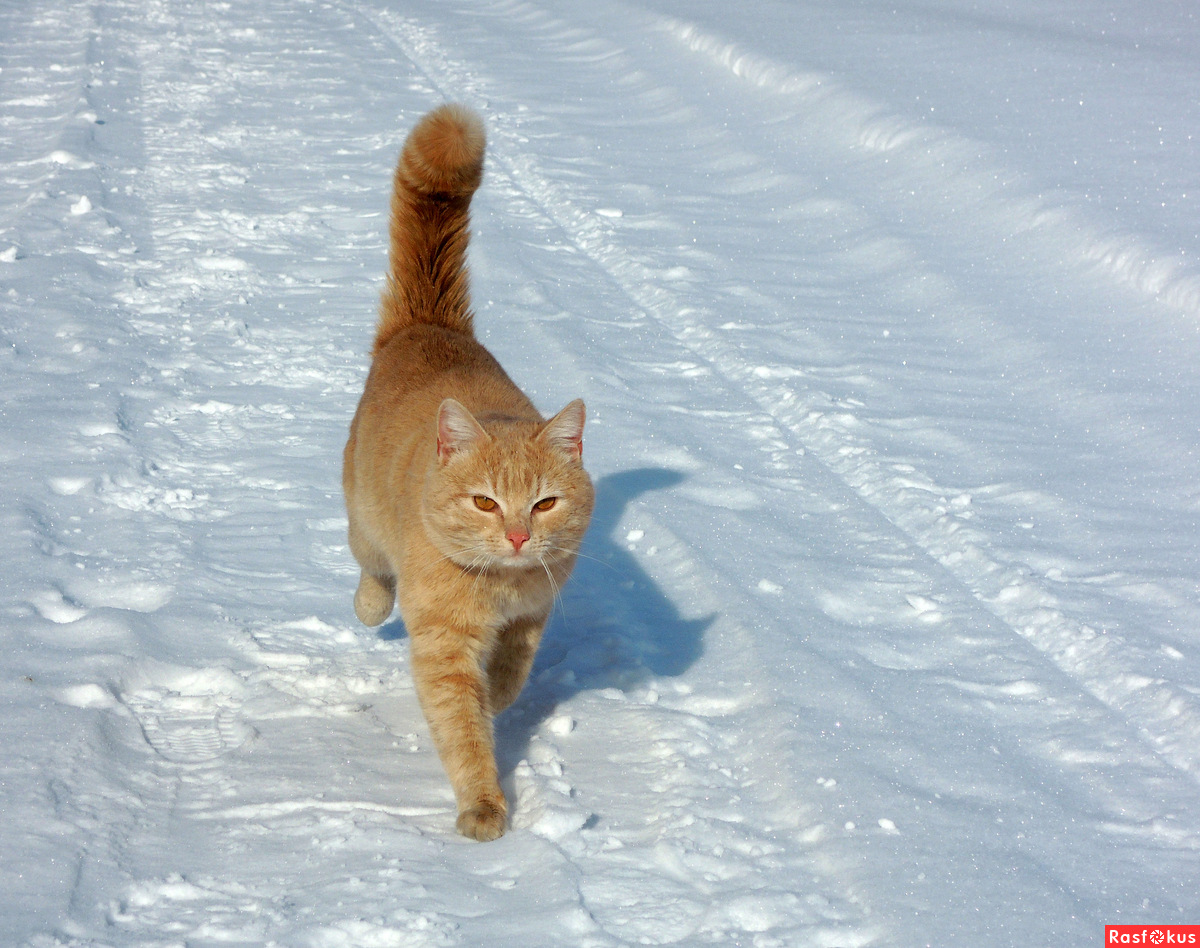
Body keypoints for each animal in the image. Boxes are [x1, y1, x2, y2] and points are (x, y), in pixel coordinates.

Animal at [343, 103, 595, 844]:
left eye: (542, 505)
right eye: (485, 502)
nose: (515, 537)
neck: (499, 590)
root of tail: (431, 325)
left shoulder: (532, 616)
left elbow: (509, 678)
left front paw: (501, 699)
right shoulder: (444, 649)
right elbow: (464, 729)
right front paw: (484, 805)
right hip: (363, 521)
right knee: (370, 572)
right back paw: (370, 606)